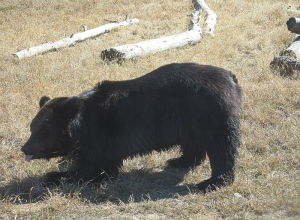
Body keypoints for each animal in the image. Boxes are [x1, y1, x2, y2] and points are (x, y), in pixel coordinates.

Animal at [20, 62, 241, 192]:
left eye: (42, 131)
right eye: (31, 128)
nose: (25, 148)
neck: (83, 126)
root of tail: (231, 77)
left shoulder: (102, 137)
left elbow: (95, 168)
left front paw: (54, 176)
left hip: (213, 112)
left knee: (222, 148)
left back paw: (212, 181)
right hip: (191, 119)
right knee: (193, 143)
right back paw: (179, 160)